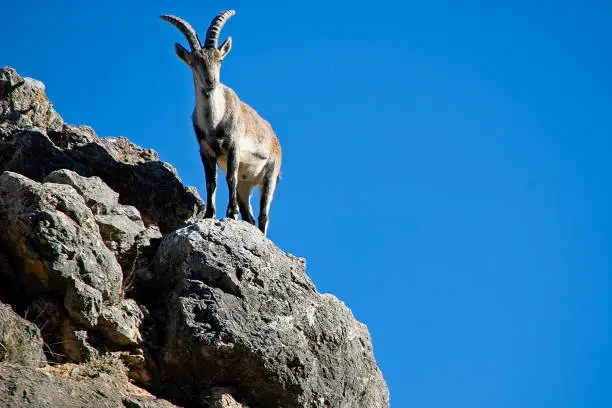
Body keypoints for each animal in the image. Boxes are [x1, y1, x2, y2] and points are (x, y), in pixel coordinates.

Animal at [159, 10, 280, 236]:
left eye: (220, 60)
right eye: (194, 62)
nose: (211, 82)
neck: (214, 123)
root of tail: (276, 139)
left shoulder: (233, 146)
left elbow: (229, 177)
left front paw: (230, 213)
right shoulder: (206, 151)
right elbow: (211, 182)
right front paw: (209, 214)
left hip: (270, 174)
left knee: (263, 216)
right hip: (246, 185)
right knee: (250, 215)